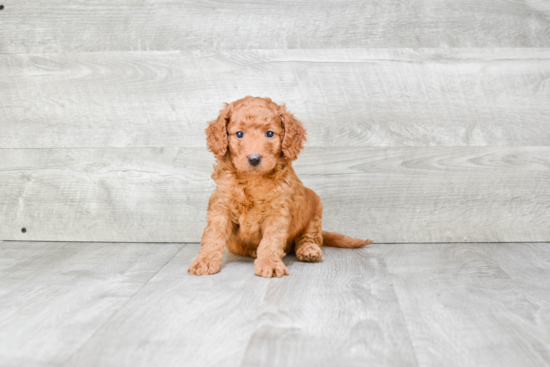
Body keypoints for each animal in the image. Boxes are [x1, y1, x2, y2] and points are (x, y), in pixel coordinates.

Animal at [190, 96, 376, 278]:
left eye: (270, 133)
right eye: (239, 134)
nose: (254, 159)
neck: (253, 179)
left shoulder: (278, 210)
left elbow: (271, 239)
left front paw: (269, 264)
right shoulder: (221, 205)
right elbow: (214, 235)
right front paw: (205, 261)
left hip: (314, 211)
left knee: (310, 237)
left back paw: (308, 250)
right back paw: (254, 251)